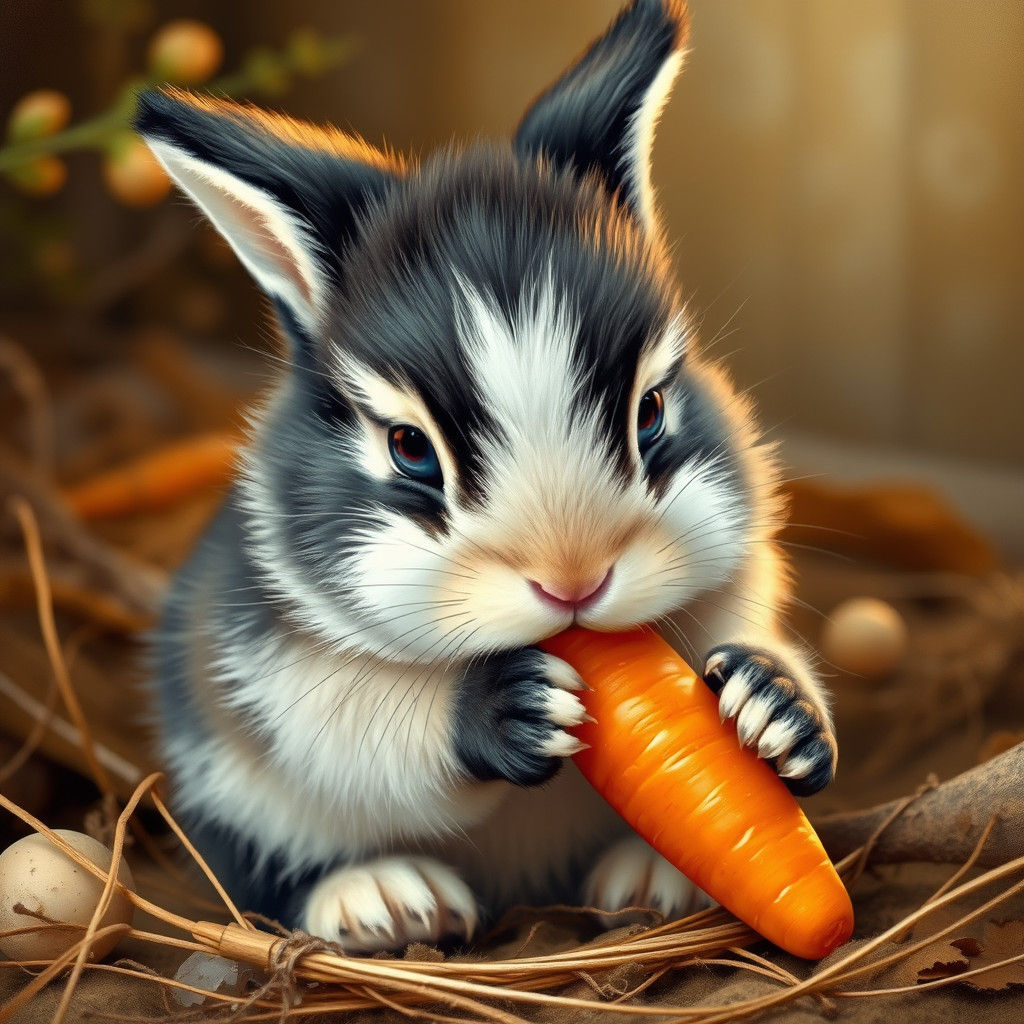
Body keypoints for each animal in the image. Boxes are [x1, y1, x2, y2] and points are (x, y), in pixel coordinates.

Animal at [138, 0, 838, 952]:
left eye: (652, 411)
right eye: (409, 448)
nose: (574, 583)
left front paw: (775, 709)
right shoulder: (286, 668)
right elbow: (368, 731)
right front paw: (514, 708)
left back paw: (653, 881)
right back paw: (386, 901)